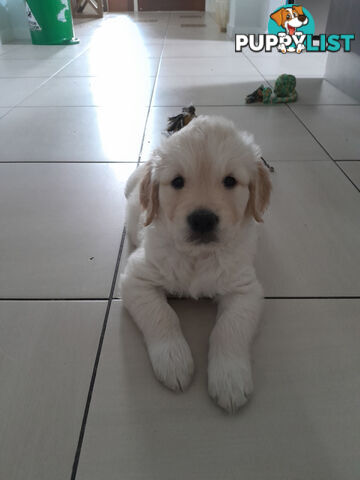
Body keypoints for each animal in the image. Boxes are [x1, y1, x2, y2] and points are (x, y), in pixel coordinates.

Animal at [121, 117, 270, 412]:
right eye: (177, 181)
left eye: (230, 181)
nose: (202, 219)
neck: (197, 257)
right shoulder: (137, 277)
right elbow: (162, 315)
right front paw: (173, 359)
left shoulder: (245, 289)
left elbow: (229, 328)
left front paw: (230, 378)